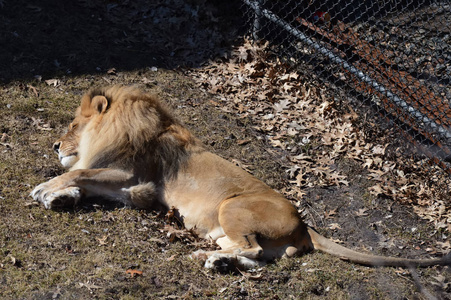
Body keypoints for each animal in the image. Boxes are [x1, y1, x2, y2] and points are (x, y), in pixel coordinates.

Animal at [30, 85, 450, 270]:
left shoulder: (134, 176)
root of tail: (304, 223)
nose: (54, 144)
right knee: (260, 256)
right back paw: (219, 261)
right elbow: (82, 180)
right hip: (232, 229)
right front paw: (60, 196)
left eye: (73, 124)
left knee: (254, 250)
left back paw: (208, 258)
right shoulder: (135, 186)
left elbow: (82, 169)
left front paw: (45, 188)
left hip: (232, 207)